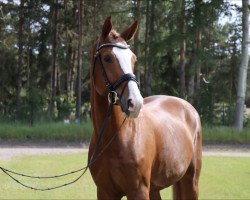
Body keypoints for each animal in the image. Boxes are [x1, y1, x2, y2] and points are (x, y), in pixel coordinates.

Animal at [89, 16, 202, 200]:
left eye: (134, 59)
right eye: (107, 58)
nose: (135, 103)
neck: (114, 138)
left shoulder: (138, 191)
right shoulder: (105, 192)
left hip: (190, 181)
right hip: (155, 188)